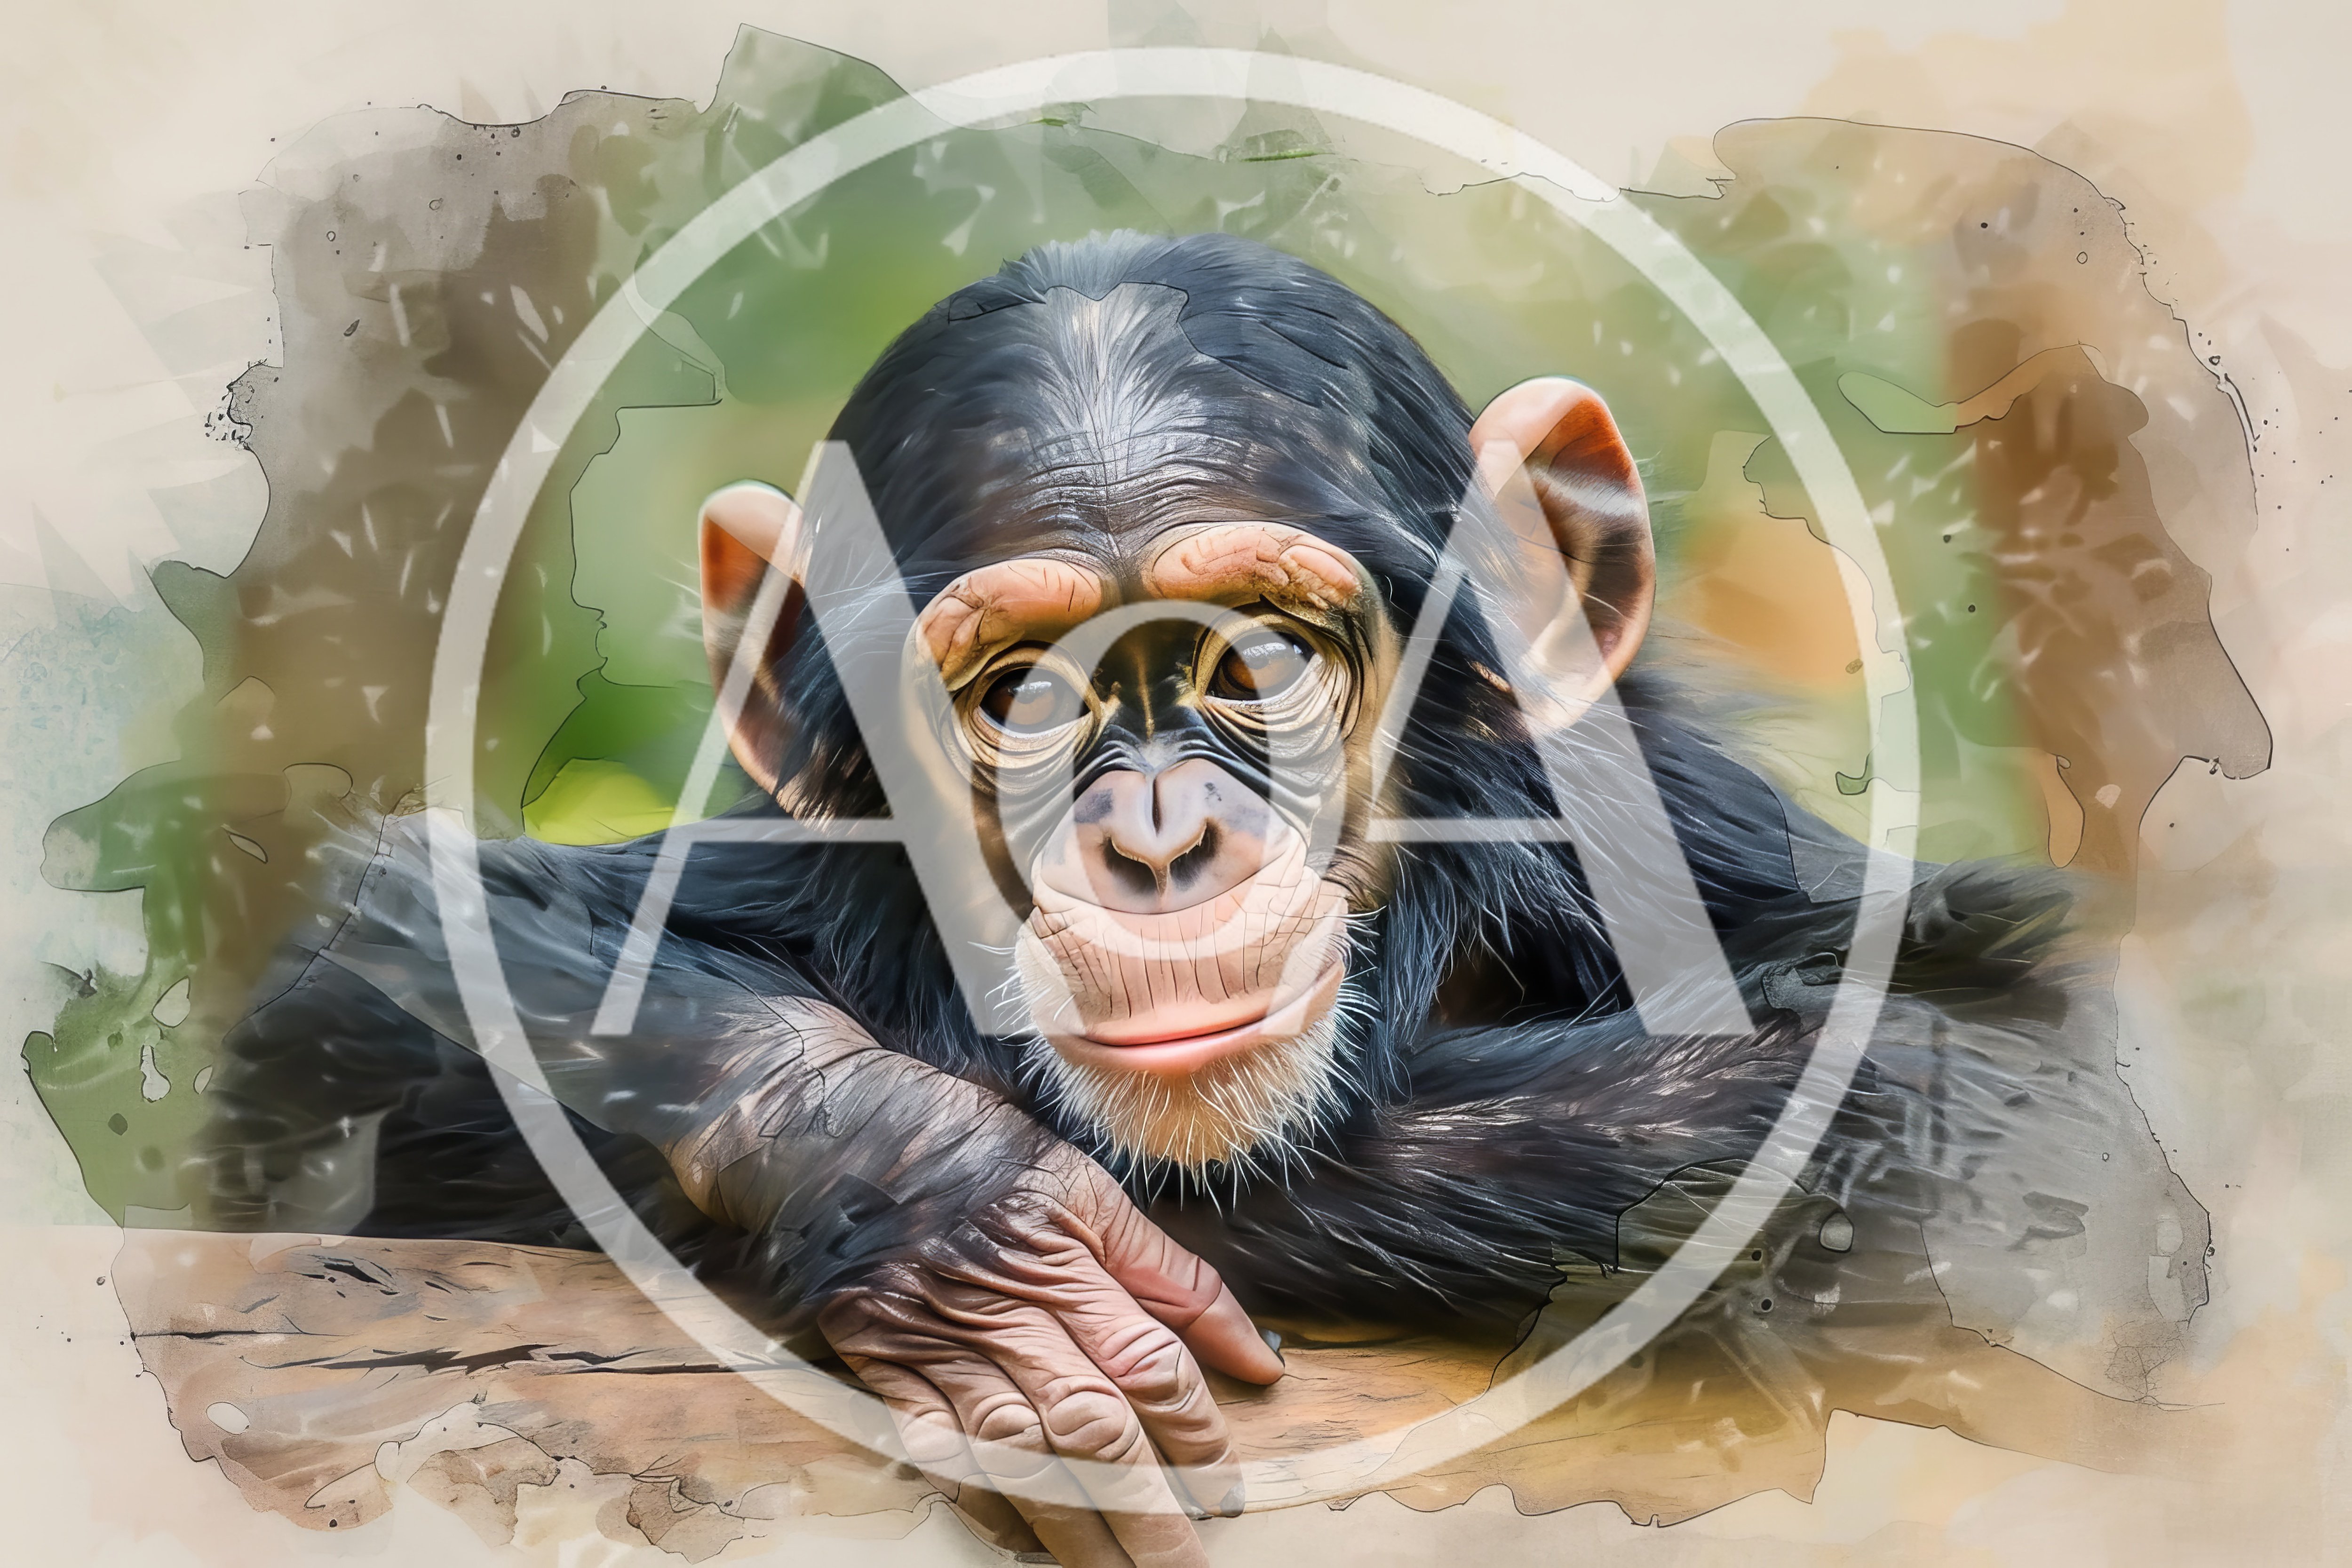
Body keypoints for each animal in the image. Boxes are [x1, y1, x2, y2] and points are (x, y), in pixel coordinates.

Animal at [198, 231, 2200, 1566]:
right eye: (1022, 693)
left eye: (1260, 658)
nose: (1157, 840)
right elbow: (351, 1021)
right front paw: (950, 1197)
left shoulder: (1708, 856)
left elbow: (2035, 1139)